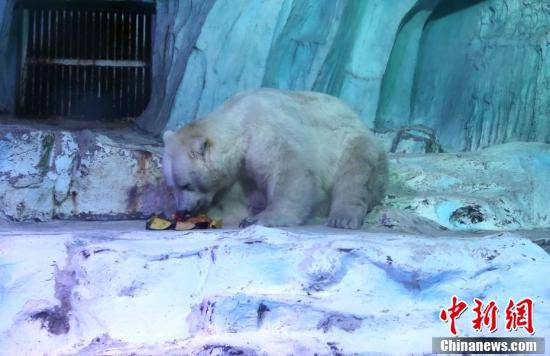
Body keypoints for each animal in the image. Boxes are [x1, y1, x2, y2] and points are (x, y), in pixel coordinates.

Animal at [162, 88, 390, 229]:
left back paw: (342, 217)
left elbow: (288, 171)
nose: (183, 210)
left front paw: (260, 218)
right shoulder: (240, 171)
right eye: (172, 186)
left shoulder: (264, 133)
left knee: (354, 175)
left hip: (349, 143)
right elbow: (235, 200)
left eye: (186, 184)